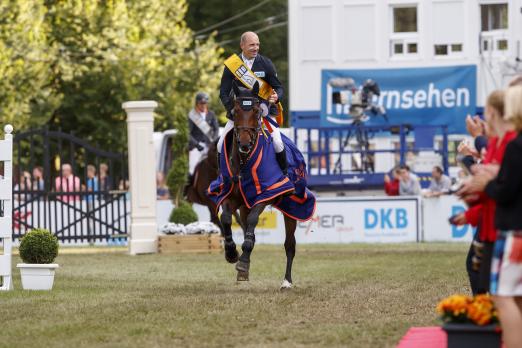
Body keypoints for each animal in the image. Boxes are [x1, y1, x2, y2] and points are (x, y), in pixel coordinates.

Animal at [216, 81, 296, 288]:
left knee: (289, 245)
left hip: (291, 207)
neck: (244, 161)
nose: (244, 143)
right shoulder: (231, 196)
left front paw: (243, 262)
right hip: (244, 205)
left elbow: (253, 220)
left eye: (256, 110)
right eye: (235, 111)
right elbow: (226, 218)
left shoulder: (264, 195)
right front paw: (231, 253)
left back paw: (286, 281)